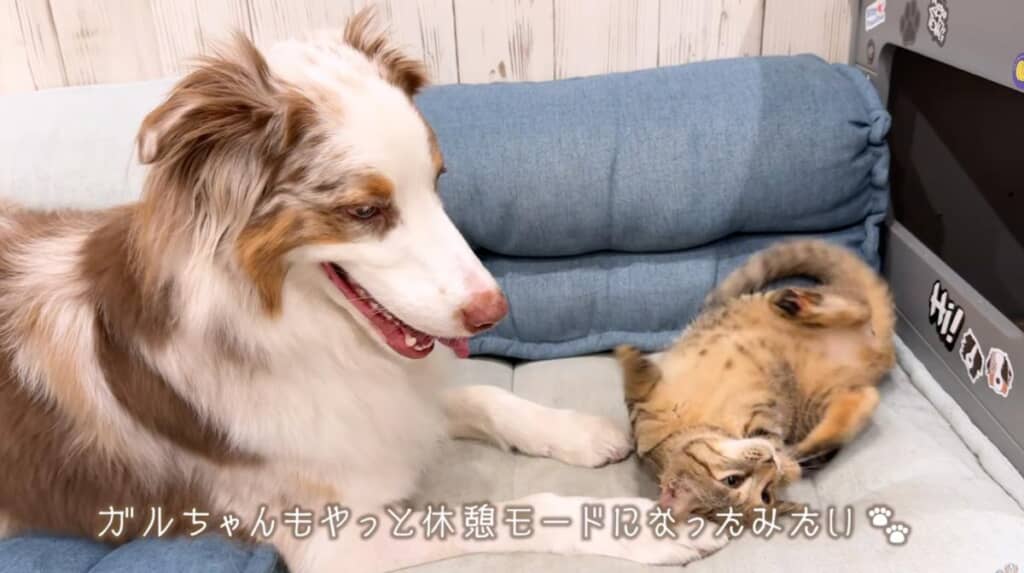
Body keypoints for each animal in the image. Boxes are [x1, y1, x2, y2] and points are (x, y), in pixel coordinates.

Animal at [0, 9, 724, 571]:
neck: (295, 327)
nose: (493, 311)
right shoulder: (332, 537)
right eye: (365, 211)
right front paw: (637, 527)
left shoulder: (378, 404)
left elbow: (482, 394)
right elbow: (515, 507)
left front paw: (574, 430)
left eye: (437, 180)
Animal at [616, 239, 895, 522]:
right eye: (765, 494)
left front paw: (629, 357)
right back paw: (812, 445)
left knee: (857, 308)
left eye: (731, 480)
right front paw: (790, 465)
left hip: (760, 300)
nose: (769, 462)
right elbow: (777, 445)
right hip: (818, 400)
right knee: (864, 397)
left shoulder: (643, 413)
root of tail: (878, 349)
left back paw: (799, 304)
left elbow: (636, 387)